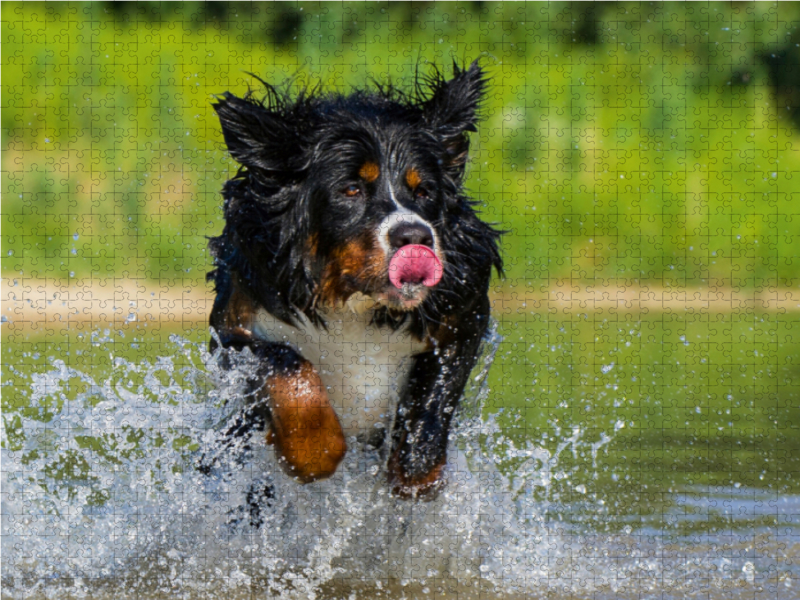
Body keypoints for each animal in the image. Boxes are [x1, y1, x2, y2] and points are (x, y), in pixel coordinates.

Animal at [209, 61, 504, 500]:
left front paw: (415, 474)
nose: (415, 236)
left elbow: (434, 403)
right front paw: (313, 451)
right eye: (350, 189)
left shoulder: (462, 310)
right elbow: (284, 365)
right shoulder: (234, 322)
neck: (352, 302)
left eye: (424, 190)